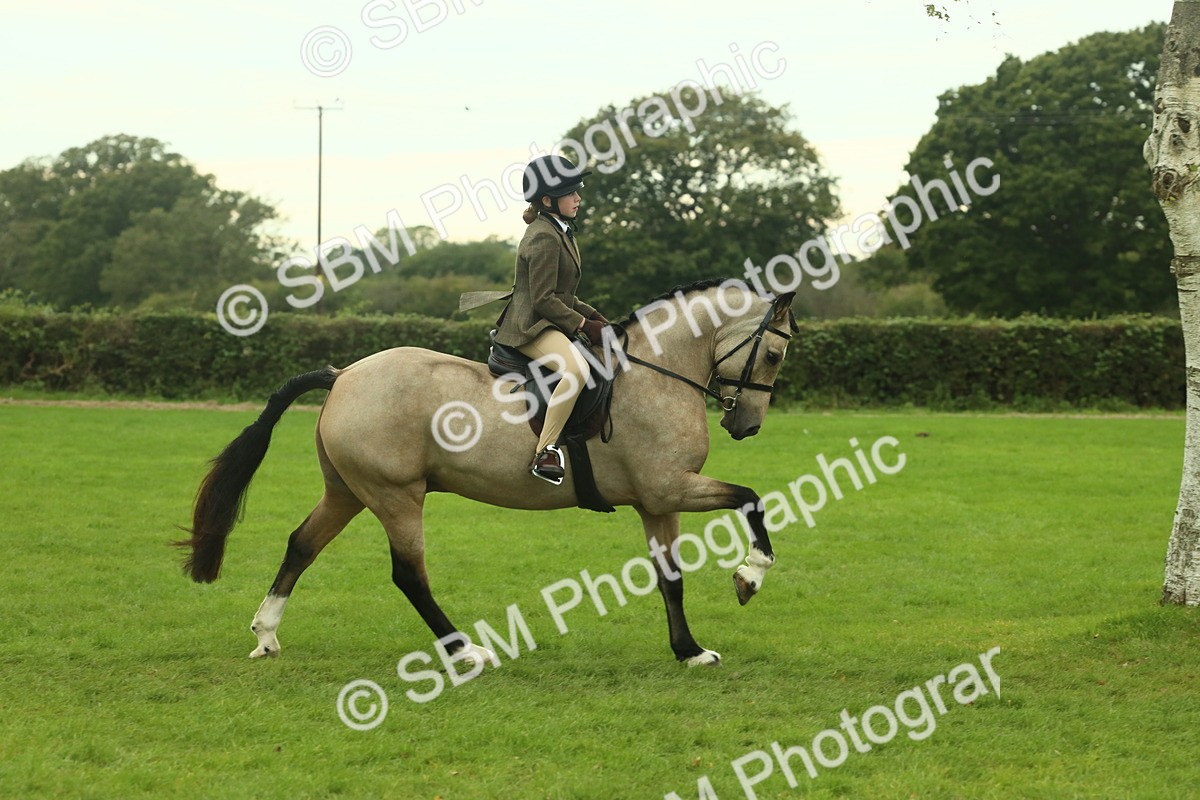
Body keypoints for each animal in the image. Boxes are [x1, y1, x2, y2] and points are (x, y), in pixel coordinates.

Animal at [179, 278, 798, 668]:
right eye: (773, 355)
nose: (747, 425)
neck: (658, 372)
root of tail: (344, 375)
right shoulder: (670, 489)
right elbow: (751, 498)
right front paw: (750, 577)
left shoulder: (657, 502)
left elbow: (671, 578)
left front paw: (690, 651)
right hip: (396, 495)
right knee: (409, 575)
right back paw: (466, 651)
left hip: (347, 492)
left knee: (301, 545)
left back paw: (266, 635)